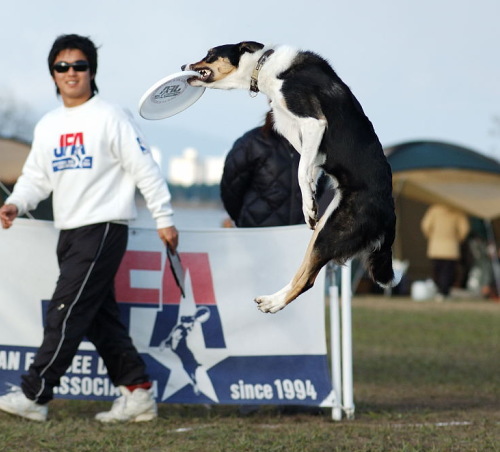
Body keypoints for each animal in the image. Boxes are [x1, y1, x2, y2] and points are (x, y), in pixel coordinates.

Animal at [183, 42, 398, 312]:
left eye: (211, 54)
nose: (183, 65)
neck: (263, 65)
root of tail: (390, 214)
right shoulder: (295, 130)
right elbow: (307, 168)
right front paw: (311, 196)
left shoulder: (313, 122)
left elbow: (300, 170)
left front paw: (308, 204)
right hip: (325, 227)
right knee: (306, 274)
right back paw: (271, 299)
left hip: (330, 233)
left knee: (306, 280)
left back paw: (272, 303)